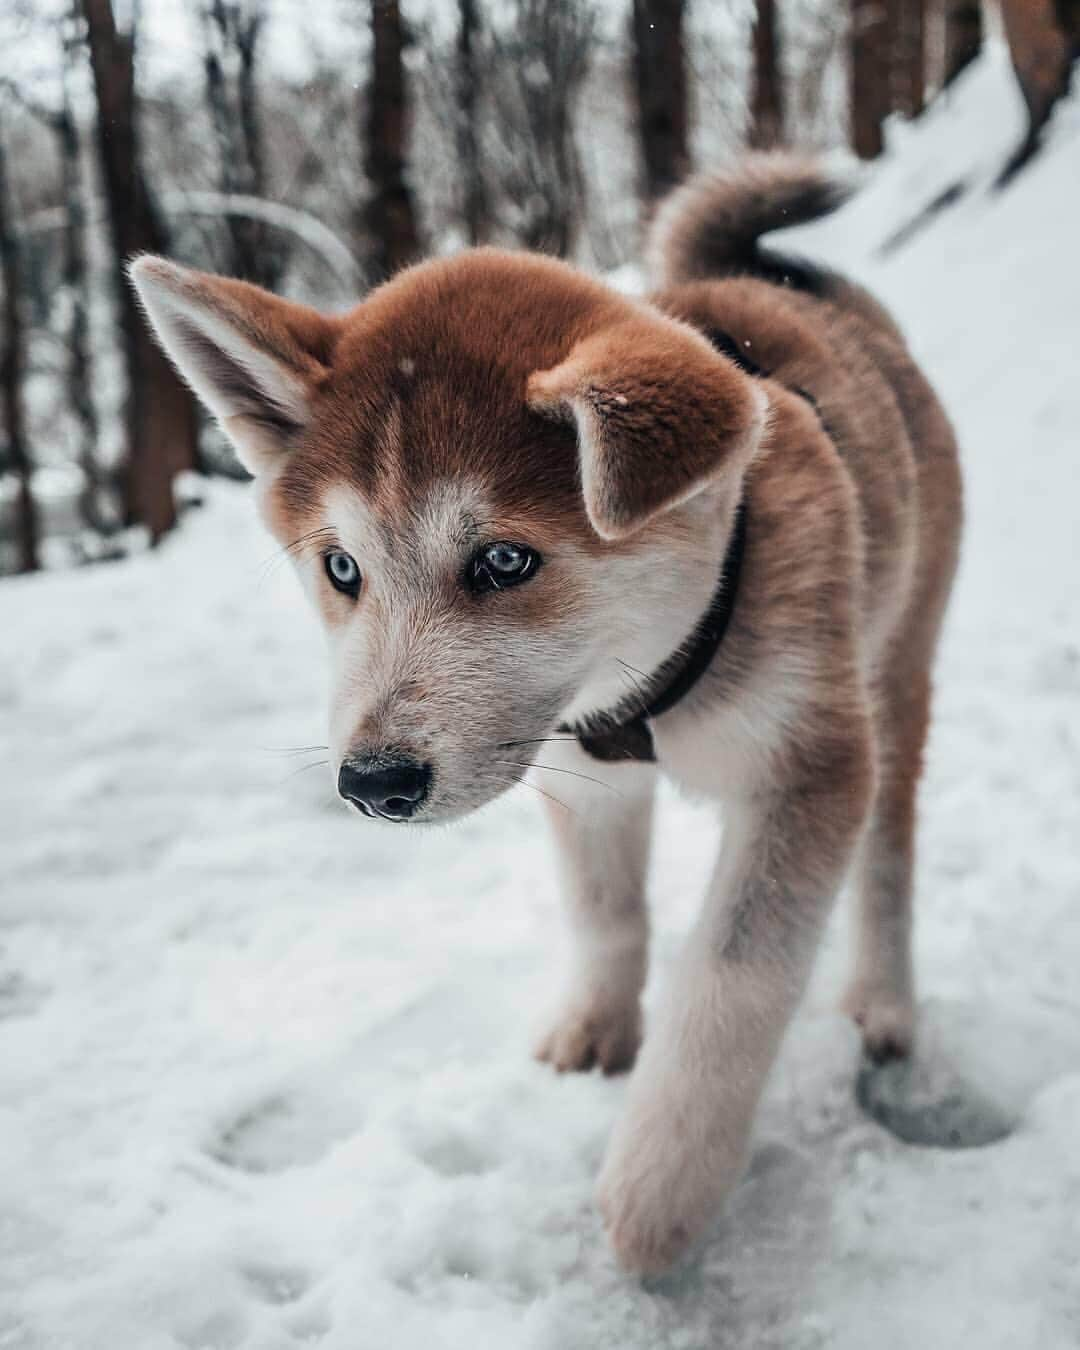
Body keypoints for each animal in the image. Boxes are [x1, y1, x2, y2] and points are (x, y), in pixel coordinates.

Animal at [130, 157, 966, 1274]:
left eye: (504, 560)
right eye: (341, 569)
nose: (373, 783)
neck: (654, 688)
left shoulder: (808, 767)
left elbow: (730, 981)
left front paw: (660, 1190)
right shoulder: (590, 778)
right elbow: (606, 914)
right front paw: (596, 1030)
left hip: (897, 669)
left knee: (889, 851)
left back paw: (885, 1002)